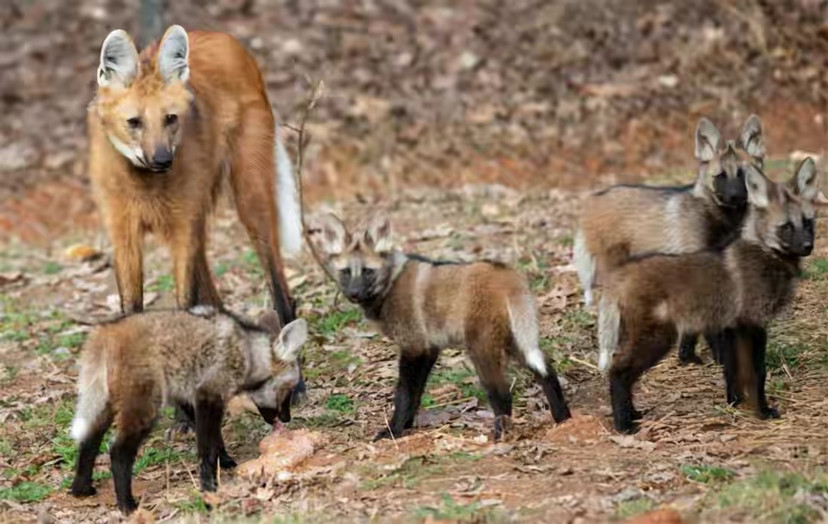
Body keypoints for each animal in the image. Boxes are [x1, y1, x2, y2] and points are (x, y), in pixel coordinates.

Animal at [88, 25, 300, 328]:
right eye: (134, 122)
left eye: (170, 118)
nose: (163, 160)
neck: (144, 182)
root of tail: (224, 37)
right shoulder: (124, 230)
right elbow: (131, 305)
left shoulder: (181, 222)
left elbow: (184, 298)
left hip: (247, 192)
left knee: (271, 263)